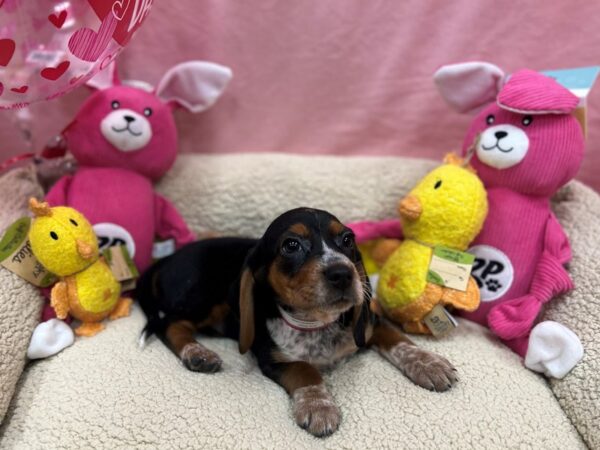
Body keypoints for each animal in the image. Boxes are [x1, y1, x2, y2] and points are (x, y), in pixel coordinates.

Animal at [135, 209, 454, 438]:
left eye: (348, 240)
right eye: (291, 245)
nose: (343, 273)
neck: (317, 324)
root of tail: (164, 260)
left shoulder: (368, 324)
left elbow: (399, 339)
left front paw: (429, 364)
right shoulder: (272, 358)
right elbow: (304, 369)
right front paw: (318, 405)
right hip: (204, 297)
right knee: (168, 324)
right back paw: (196, 353)